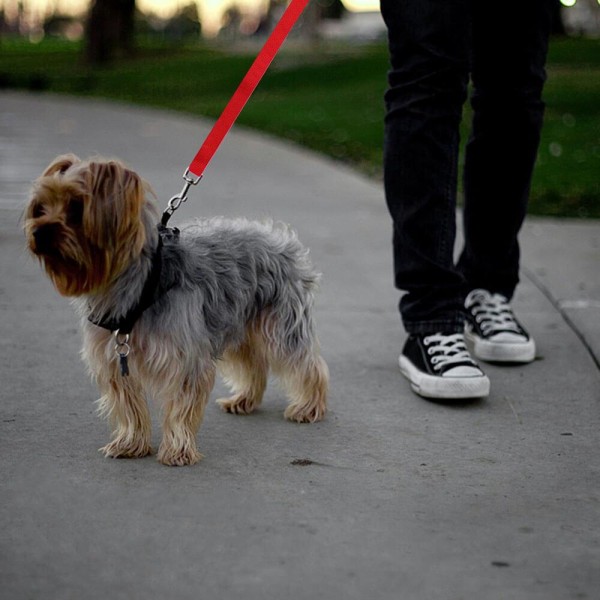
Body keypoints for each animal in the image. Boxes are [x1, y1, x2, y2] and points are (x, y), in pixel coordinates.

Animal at [25, 155, 328, 464]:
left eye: (76, 207)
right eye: (40, 207)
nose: (38, 231)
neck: (142, 284)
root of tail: (279, 236)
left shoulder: (185, 358)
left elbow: (182, 406)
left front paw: (178, 450)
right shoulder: (115, 360)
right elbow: (128, 405)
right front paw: (130, 443)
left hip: (281, 325)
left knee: (306, 363)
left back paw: (309, 406)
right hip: (236, 323)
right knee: (253, 362)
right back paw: (244, 399)